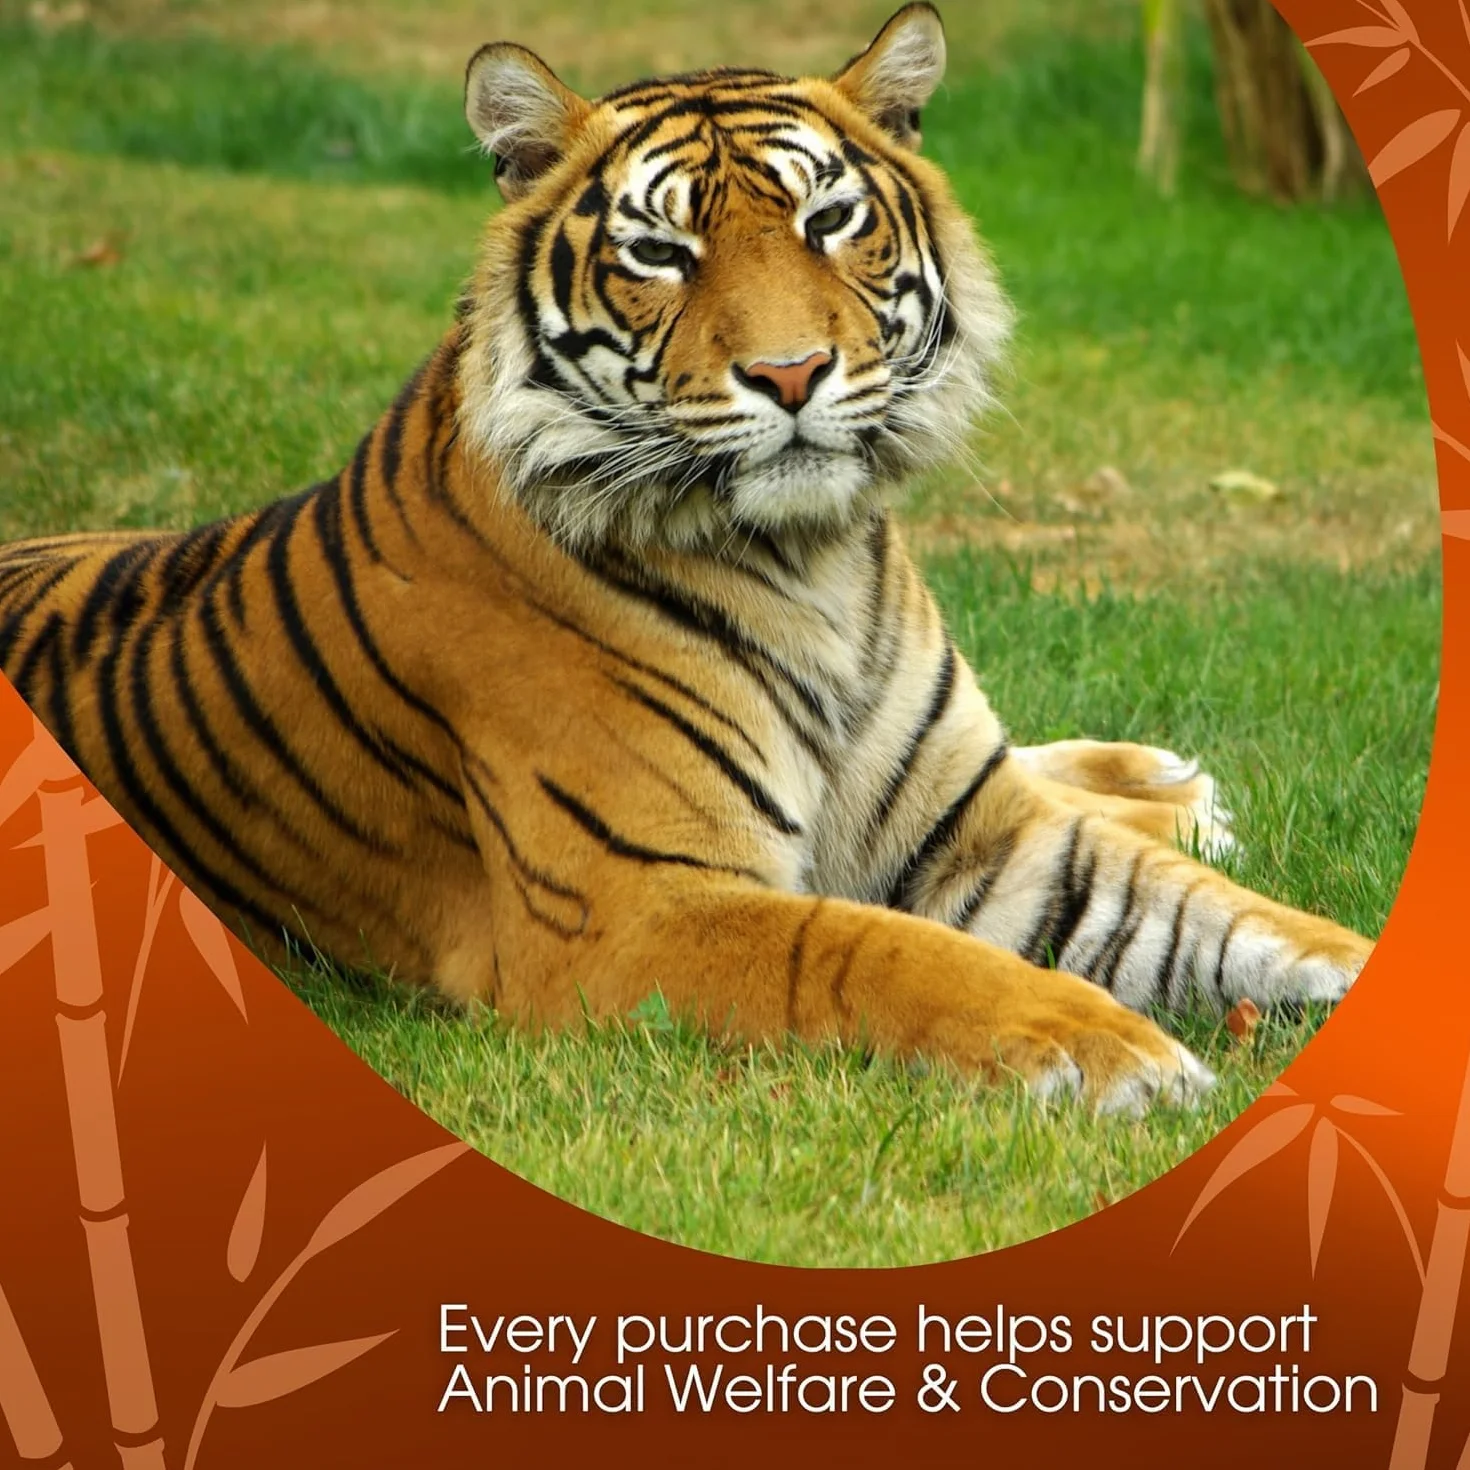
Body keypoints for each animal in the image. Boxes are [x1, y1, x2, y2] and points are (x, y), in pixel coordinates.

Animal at [0, 3, 1372, 1116]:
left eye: (829, 221)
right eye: (660, 253)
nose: (790, 374)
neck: (817, 565)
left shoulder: (987, 832)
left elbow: (1237, 920)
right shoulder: (634, 911)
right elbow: (876, 948)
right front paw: (1111, 1048)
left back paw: (1165, 783)